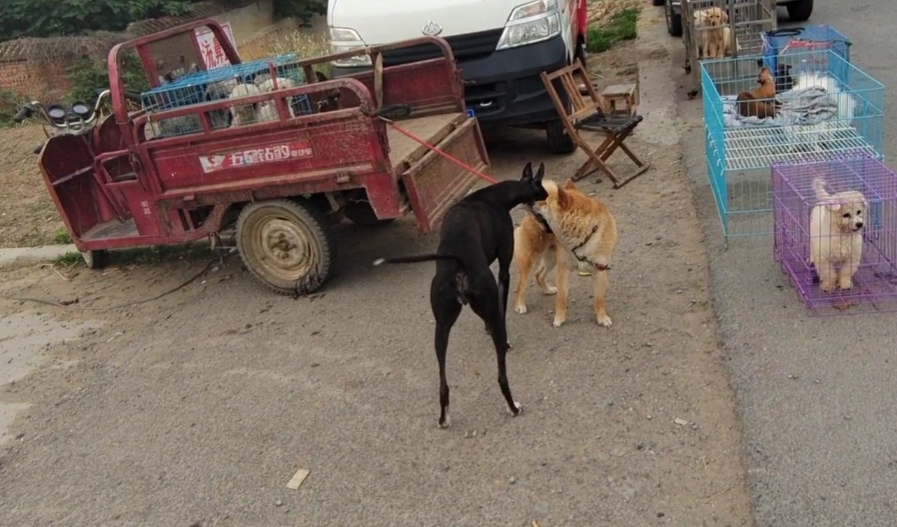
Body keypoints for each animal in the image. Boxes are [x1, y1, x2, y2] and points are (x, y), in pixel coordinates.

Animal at [372, 162, 544, 428]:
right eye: (542, 189)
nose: (547, 198)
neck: (495, 197)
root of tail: (458, 265)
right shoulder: (503, 273)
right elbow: (502, 307)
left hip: (441, 327)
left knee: (443, 384)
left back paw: (444, 418)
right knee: (501, 377)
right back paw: (513, 407)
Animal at [516, 183, 620, 330]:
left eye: (546, 203)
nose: (532, 203)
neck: (582, 234)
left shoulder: (599, 270)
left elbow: (599, 300)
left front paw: (602, 317)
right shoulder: (564, 269)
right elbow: (561, 298)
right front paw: (559, 318)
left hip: (552, 259)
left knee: (539, 274)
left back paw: (547, 289)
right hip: (531, 261)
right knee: (521, 285)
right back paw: (520, 305)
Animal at [768, 155, 896, 316]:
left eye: (859, 212)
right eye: (846, 215)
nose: (859, 224)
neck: (842, 235)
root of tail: (826, 198)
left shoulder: (852, 257)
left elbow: (846, 271)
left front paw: (845, 284)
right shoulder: (824, 258)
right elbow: (828, 273)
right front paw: (829, 286)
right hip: (813, 238)